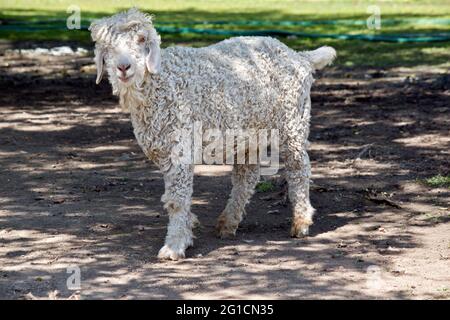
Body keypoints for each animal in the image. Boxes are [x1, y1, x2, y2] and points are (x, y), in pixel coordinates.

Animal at [89, 8, 334, 260]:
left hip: (293, 121)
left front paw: (174, 245)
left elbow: (176, 200)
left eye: (141, 40)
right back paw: (228, 222)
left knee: (298, 168)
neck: (162, 82)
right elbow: (177, 196)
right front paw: (187, 228)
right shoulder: (165, 151)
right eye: (106, 45)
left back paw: (301, 222)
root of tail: (299, 56)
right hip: (251, 133)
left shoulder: (180, 147)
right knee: (246, 176)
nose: (123, 67)